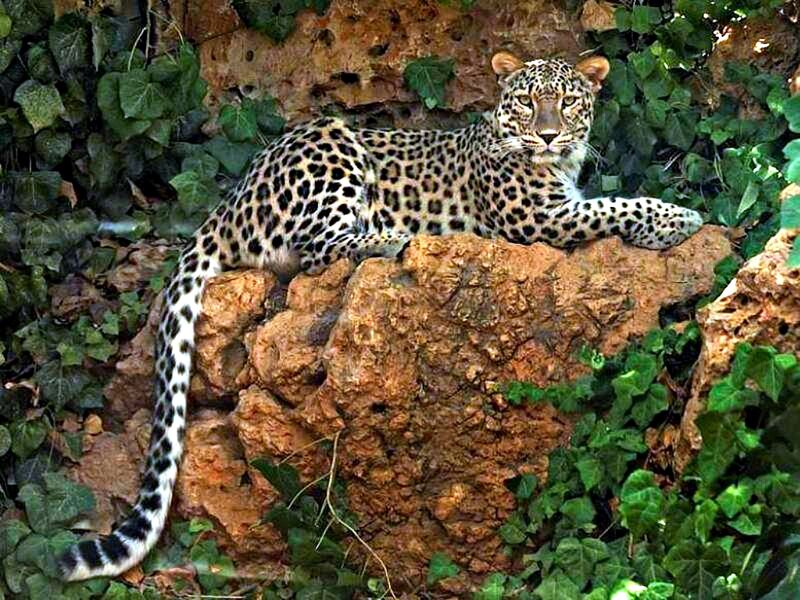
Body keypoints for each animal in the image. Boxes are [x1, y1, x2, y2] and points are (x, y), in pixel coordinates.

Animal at [59, 51, 702, 581]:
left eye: (567, 101)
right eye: (525, 101)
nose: (546, 136)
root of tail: (231, 196)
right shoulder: (538, 219)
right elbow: (613, 206)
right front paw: (678, 218)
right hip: (333, 143)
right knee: (317, 250)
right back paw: (392, 238)